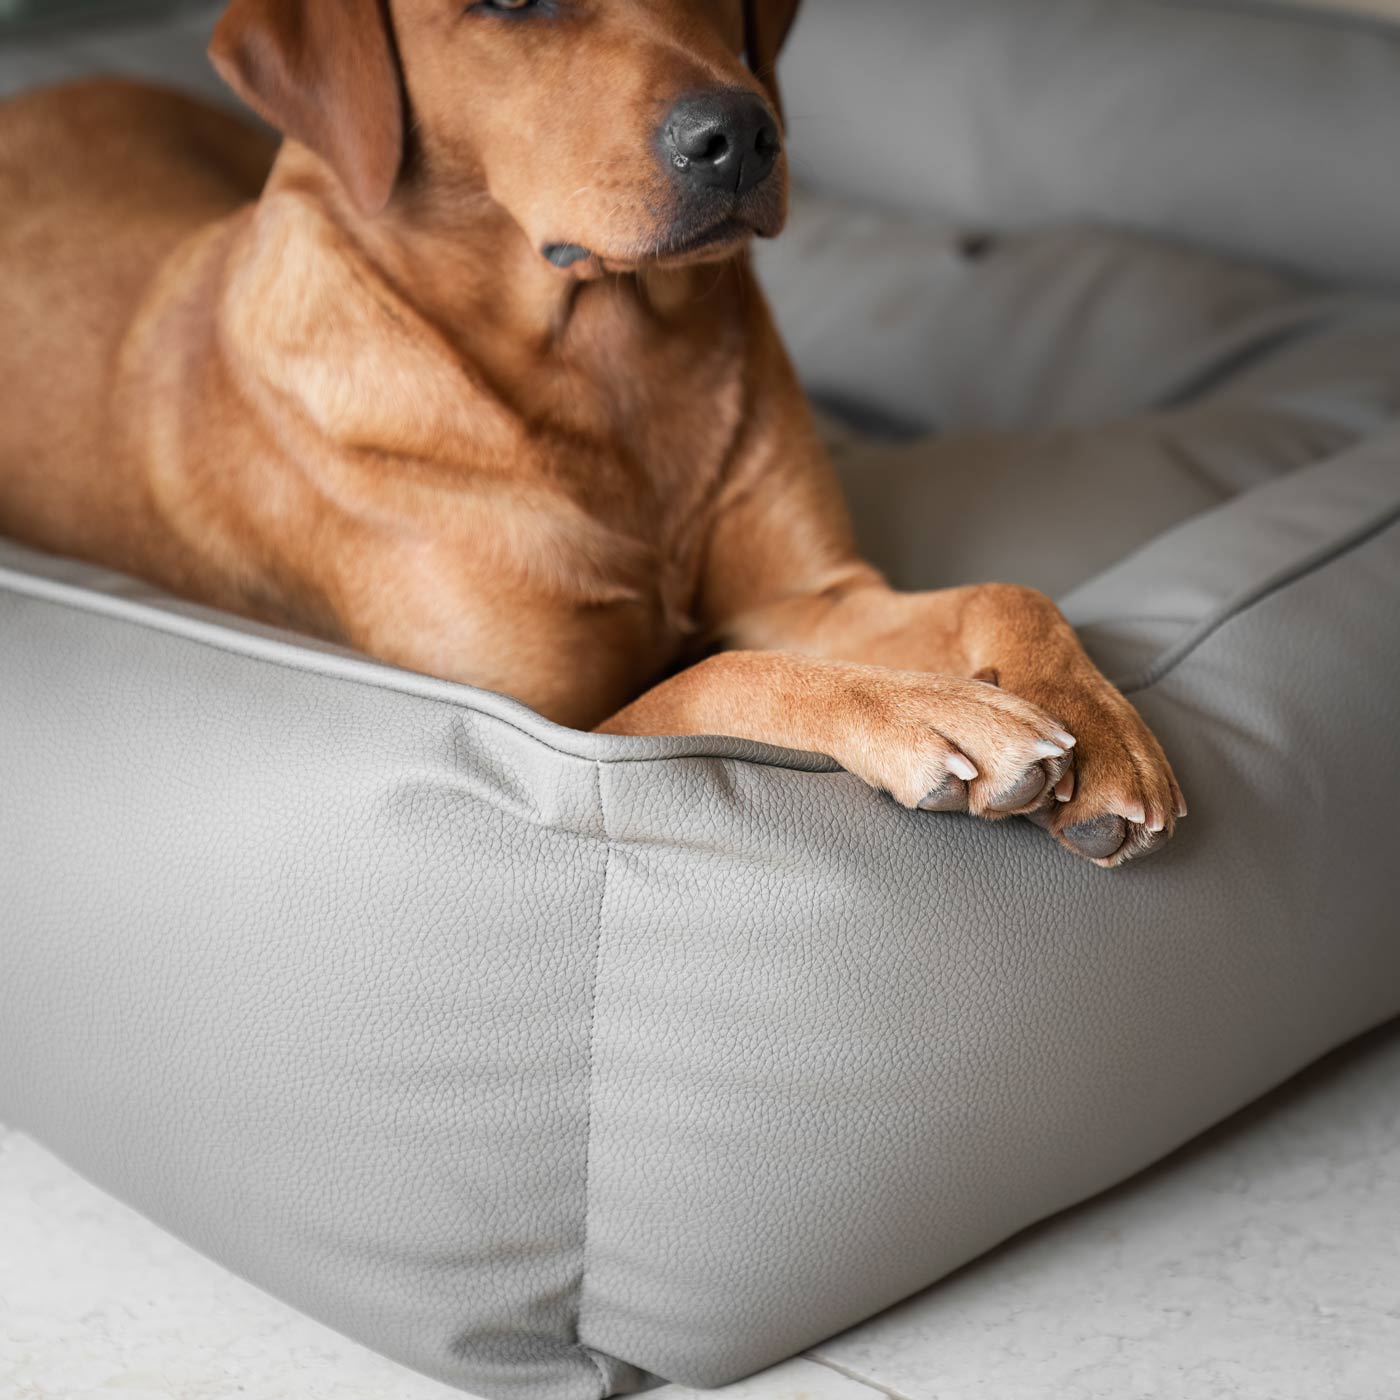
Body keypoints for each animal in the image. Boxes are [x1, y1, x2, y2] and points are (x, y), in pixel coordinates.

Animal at [0, 0, 1181, 862]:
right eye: (512, 0)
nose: (743, 134)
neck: (606, 356)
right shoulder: (553, 725)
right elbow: (716, 672)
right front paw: (926, 711)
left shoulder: (810, 595)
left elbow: (1006, 590)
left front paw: (1098, 717)